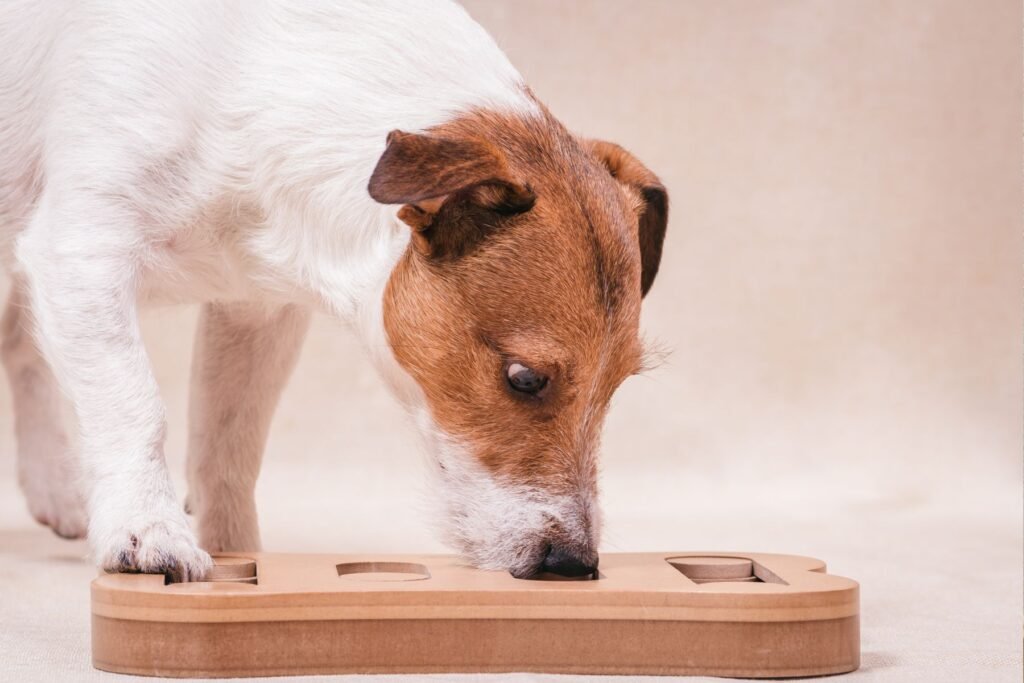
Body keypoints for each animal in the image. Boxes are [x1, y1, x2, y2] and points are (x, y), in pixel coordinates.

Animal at [0, 0, 667, 581]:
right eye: (524, 378)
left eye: (617, 386)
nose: (574, 564)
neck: (261, 75)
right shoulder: (83, 254)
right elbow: (135, 402)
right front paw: (147, 530)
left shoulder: (255, 313)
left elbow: (230, 444)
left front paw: (239, 553)